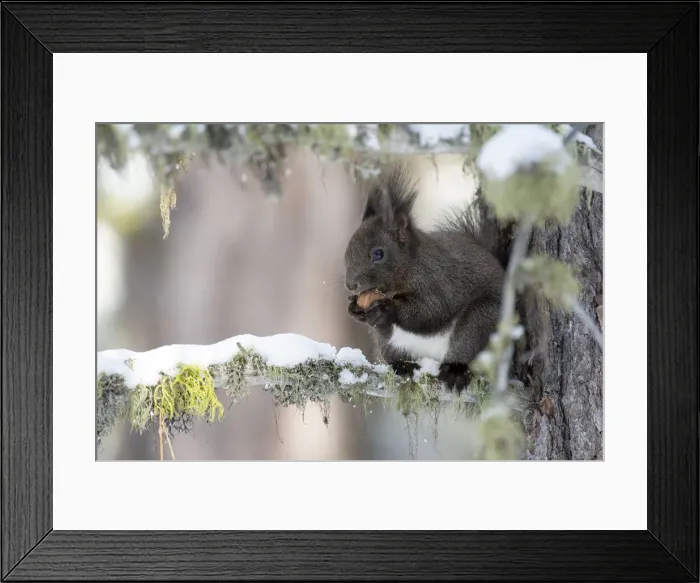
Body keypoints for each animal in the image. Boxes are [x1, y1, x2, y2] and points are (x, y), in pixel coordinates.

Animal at [344, 162, 518, 392]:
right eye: (348, 250)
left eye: (378, 254)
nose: (350, 284)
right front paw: (355, 309)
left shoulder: (438, 280)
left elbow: (432, 312)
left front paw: (387, 309)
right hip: (390, 346)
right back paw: (403, 366)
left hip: (481, 320)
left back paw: (455, 370)